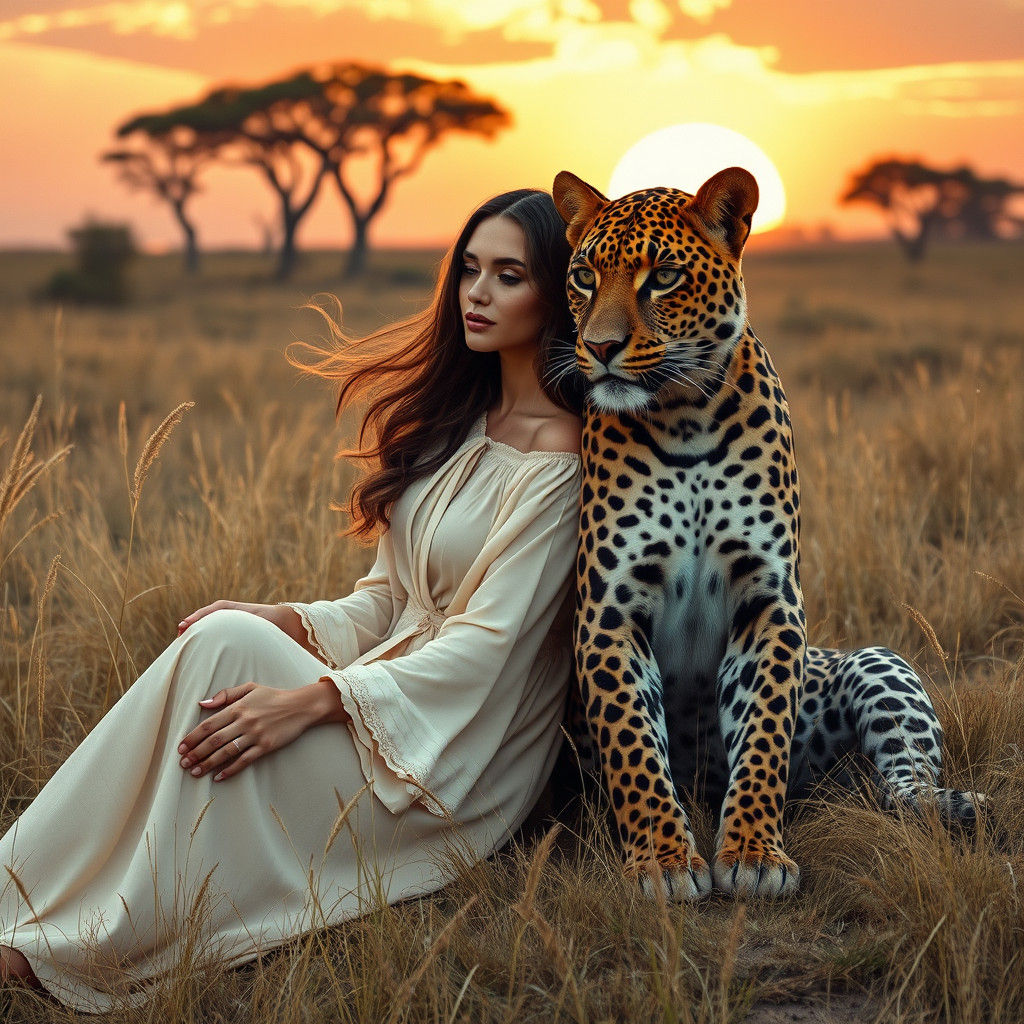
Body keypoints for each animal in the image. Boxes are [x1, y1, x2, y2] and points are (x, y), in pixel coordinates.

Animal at [550, 166, 984, 901]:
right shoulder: (610, 608)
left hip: (878, 664)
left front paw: (754, 853)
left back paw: (955, 806)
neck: (684, 417)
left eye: (663, 276)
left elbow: (762, 735)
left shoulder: (769, 598)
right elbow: (636, 745)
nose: (600, 349)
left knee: (902, 783)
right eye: (583, 275)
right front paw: (663, 860)